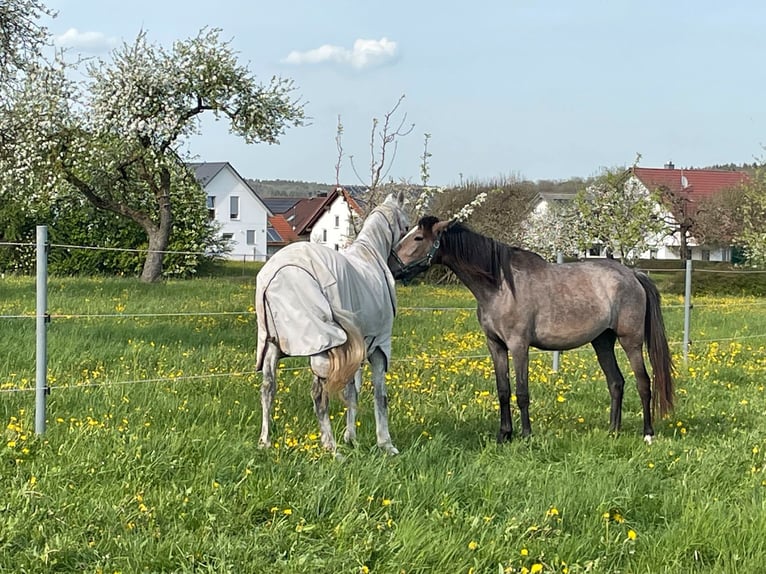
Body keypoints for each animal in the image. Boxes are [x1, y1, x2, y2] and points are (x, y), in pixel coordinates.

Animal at [392, 217, 676, 446]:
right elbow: (503, 390)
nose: (392, 266)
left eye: (418, 238)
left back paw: (648, 434)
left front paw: (526, 435)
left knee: (643, 382)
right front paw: (504, 435)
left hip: (631, 341)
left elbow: (522, 392)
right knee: (616, 382)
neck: (500, 285)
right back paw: (613, 432)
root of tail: (633, 274)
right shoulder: (495, 345)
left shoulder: (519, 346)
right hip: (602, 342)